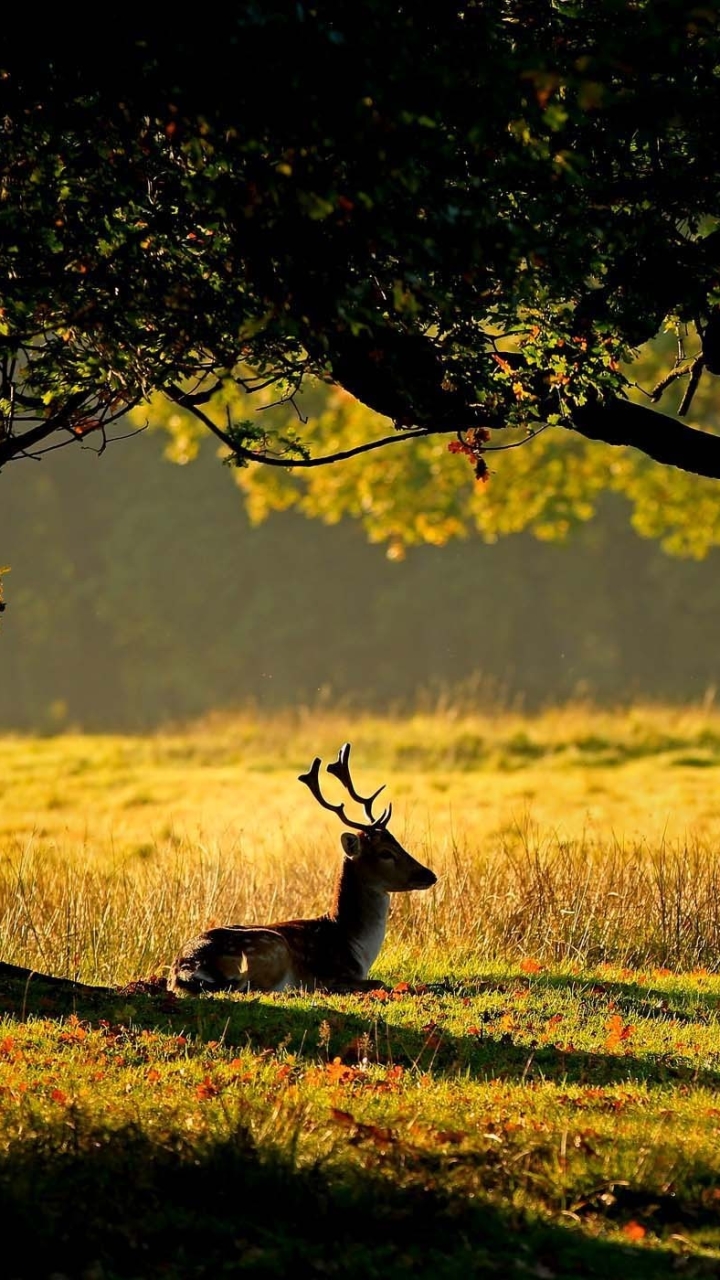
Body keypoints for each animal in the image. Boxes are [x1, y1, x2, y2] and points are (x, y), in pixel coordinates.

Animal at [166, 742, 438, 998]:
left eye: (397, 842)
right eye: (385, 853)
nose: (429, 875)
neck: (354, 946)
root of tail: (184, 970)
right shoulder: (331, 974)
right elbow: (378, 982)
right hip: (272, 947)